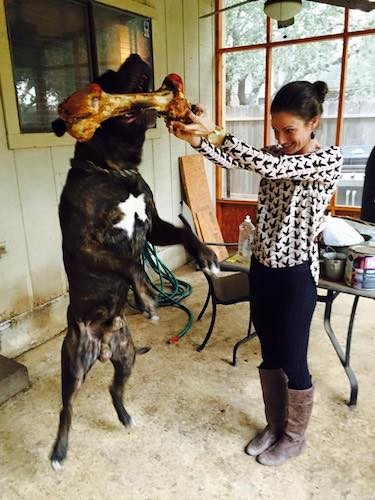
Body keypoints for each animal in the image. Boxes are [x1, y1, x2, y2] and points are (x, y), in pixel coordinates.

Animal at [50, 53, 217, 468]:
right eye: (107, 78)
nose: (137, 56)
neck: (115, 170)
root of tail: (103, 343)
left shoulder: (155, 227)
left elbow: (185, 234)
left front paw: (206, 255)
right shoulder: (86, 246)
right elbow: (128, 264)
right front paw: (145, 294)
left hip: (126, 358)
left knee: (114, 389)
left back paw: (125, 417)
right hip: (74, 367)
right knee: (67, 409)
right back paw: (59, 451)